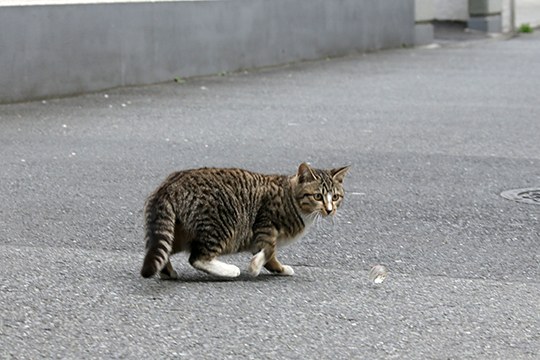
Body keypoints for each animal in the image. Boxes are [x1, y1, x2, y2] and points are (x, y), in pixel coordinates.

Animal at [140, 162, 350, 278]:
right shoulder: (265, 222)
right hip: (224, 221)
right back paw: (229, 270)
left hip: (180, 232)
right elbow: (269, 249)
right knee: (198, 257)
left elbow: (269, 254)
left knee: (162, 249)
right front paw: (258, 266)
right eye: (318, 196)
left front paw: (277, 268)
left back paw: (167, 271)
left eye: (335, 197)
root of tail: (169, 184)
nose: (329, 210)